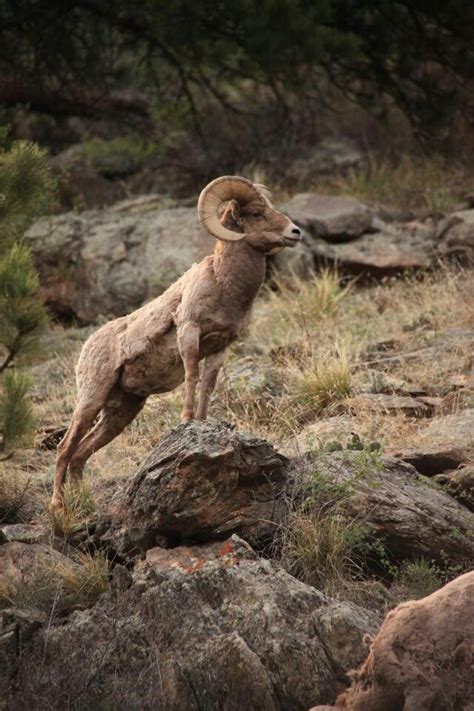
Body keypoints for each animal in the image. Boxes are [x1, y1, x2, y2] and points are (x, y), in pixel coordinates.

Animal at [51, 175, 300, 508]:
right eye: (257, 214)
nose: (295, 232)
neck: (224, 285)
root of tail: (87, 348)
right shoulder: (189, 331)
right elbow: (192, 376)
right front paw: (186, 421)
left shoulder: (222, 346)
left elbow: (208, 385)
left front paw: (204, 423)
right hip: (91, 399)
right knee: (65, 449)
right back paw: (57, 505)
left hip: (122, 412)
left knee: (80, 454)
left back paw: (83, 504)